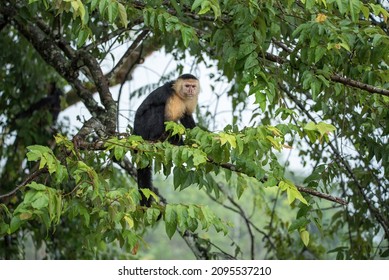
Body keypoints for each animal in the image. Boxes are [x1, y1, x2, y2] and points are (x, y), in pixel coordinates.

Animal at [133, 73, 200, 207]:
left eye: (193, 86)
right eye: (187, 86)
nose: (191, 90)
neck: (180, 95)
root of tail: (135, 131)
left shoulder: (191, 99)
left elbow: (187, 117)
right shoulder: (172, 98)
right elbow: (169, 121)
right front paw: (181, 144)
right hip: (143, 128)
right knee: (158, 109)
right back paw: (155, 138)